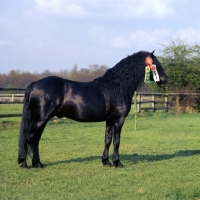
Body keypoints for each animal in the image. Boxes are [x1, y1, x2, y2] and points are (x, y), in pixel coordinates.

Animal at [17, 50, 167, 168]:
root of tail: (35, 84)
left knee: (35, 140)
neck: (116, 87)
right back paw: (24, 164)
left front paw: (106, 162)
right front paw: (117, 163)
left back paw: (38, 163)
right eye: (155, 63)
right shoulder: (118, 120)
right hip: (40, 120)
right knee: (28, 138)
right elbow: (117, 141)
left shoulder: (110, 120)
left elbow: (107, 140)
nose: (164, 79)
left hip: (42, 120)